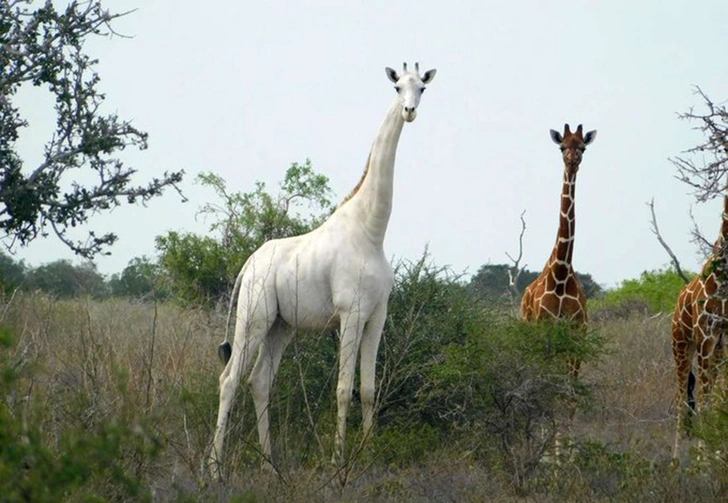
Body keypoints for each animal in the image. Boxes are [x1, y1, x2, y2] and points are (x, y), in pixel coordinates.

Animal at [210, 62, 438, 476]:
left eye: (422, 89)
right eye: (397, 87)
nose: (409, 111)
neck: (371, 231)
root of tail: (248, 264)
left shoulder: (377, 315)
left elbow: (368, 390)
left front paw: (367, 459)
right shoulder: (351, 313)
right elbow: (343, 390)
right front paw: (337, 465)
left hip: (281, 326)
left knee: (259, 381)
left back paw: (270, 466)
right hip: (254, 316)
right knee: (230, 379)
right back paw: (214, 470)